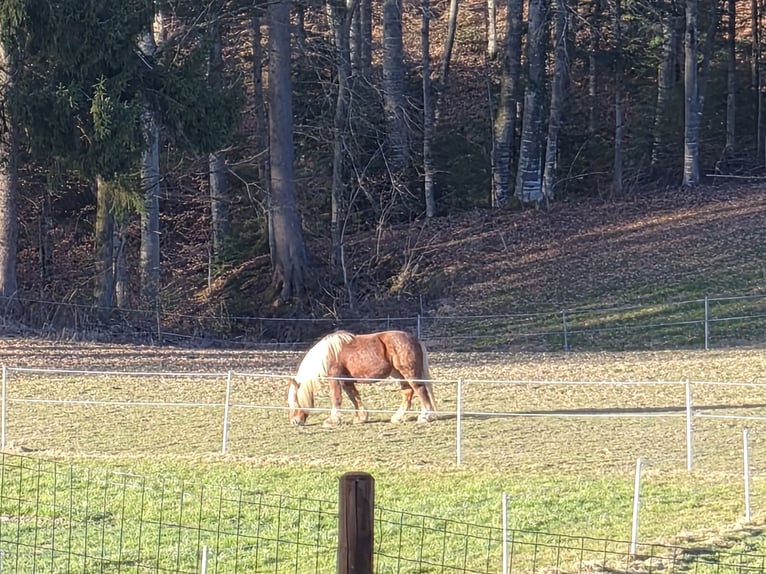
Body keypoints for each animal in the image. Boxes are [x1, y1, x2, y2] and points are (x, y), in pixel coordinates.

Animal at [287, 330, 438, 427]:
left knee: (421, 391)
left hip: (409, 373)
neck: (329, 354)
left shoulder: (335, 379)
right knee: (408, 393)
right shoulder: (346, 381)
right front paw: (361, 418)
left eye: (295, 402)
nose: (295, 422)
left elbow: (336, 399)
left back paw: (425, 416)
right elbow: (354, 397)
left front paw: (332, 421)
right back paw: (397, 417)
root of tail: (415, 339)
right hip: (399, 375)